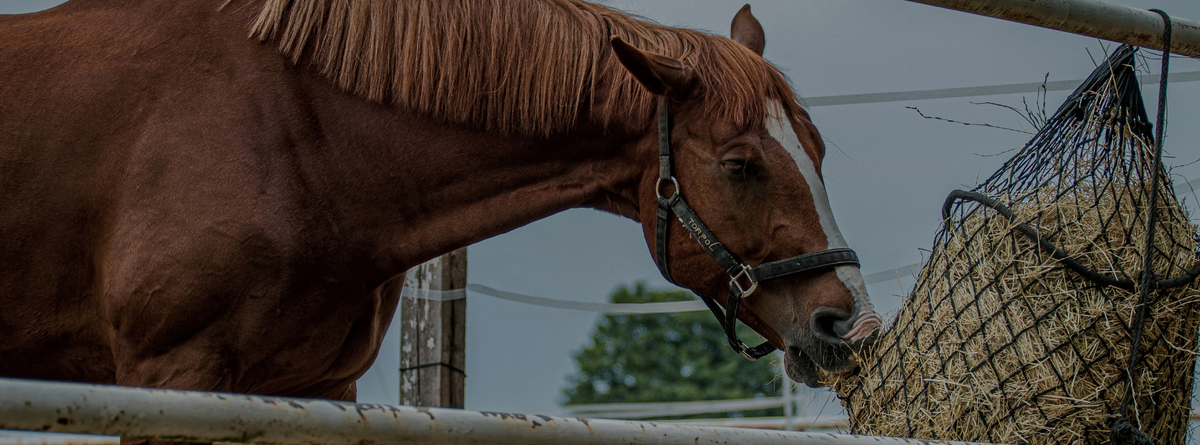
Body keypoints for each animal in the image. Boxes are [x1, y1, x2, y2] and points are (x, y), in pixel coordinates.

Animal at [0, 0, 880, 418]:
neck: (287, 129)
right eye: (740, 164)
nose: (850, 322)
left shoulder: (319, 388)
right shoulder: (172, 373)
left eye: (817, 151)